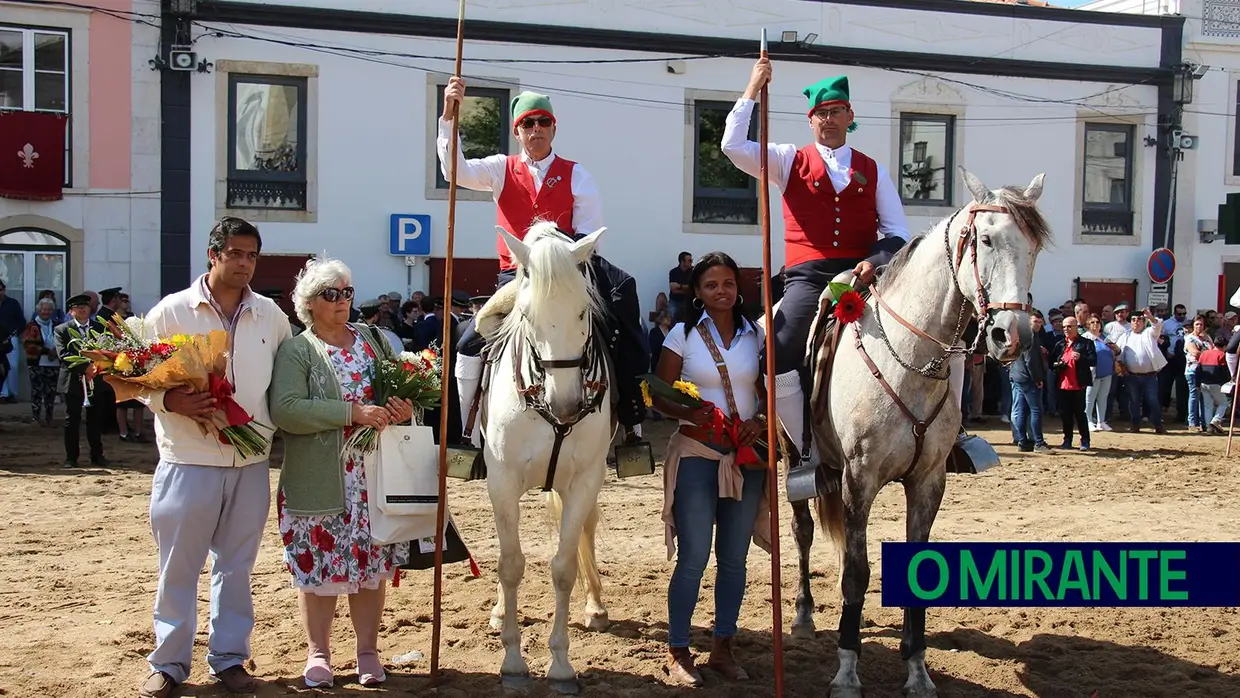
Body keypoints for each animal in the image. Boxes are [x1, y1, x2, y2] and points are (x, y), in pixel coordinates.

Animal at [481, 223, 617, 694]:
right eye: (526, 315)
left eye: (582, 313)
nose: (567, 404)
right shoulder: (502, 481)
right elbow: (510, 564)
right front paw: (512, 662)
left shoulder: (584, 481)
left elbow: (562, 567)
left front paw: (560, 664)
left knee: (587, 531)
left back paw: (595, 606)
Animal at [783, 166, 1046, 694]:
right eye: (986, 239)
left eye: (1034, 247)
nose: (1012, 336)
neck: (908, 358)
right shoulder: (858, 480)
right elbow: (857, 573)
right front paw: (847, 671)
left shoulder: (927, 481)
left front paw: (918, 671)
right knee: (803, 531)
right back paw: (802, 615)